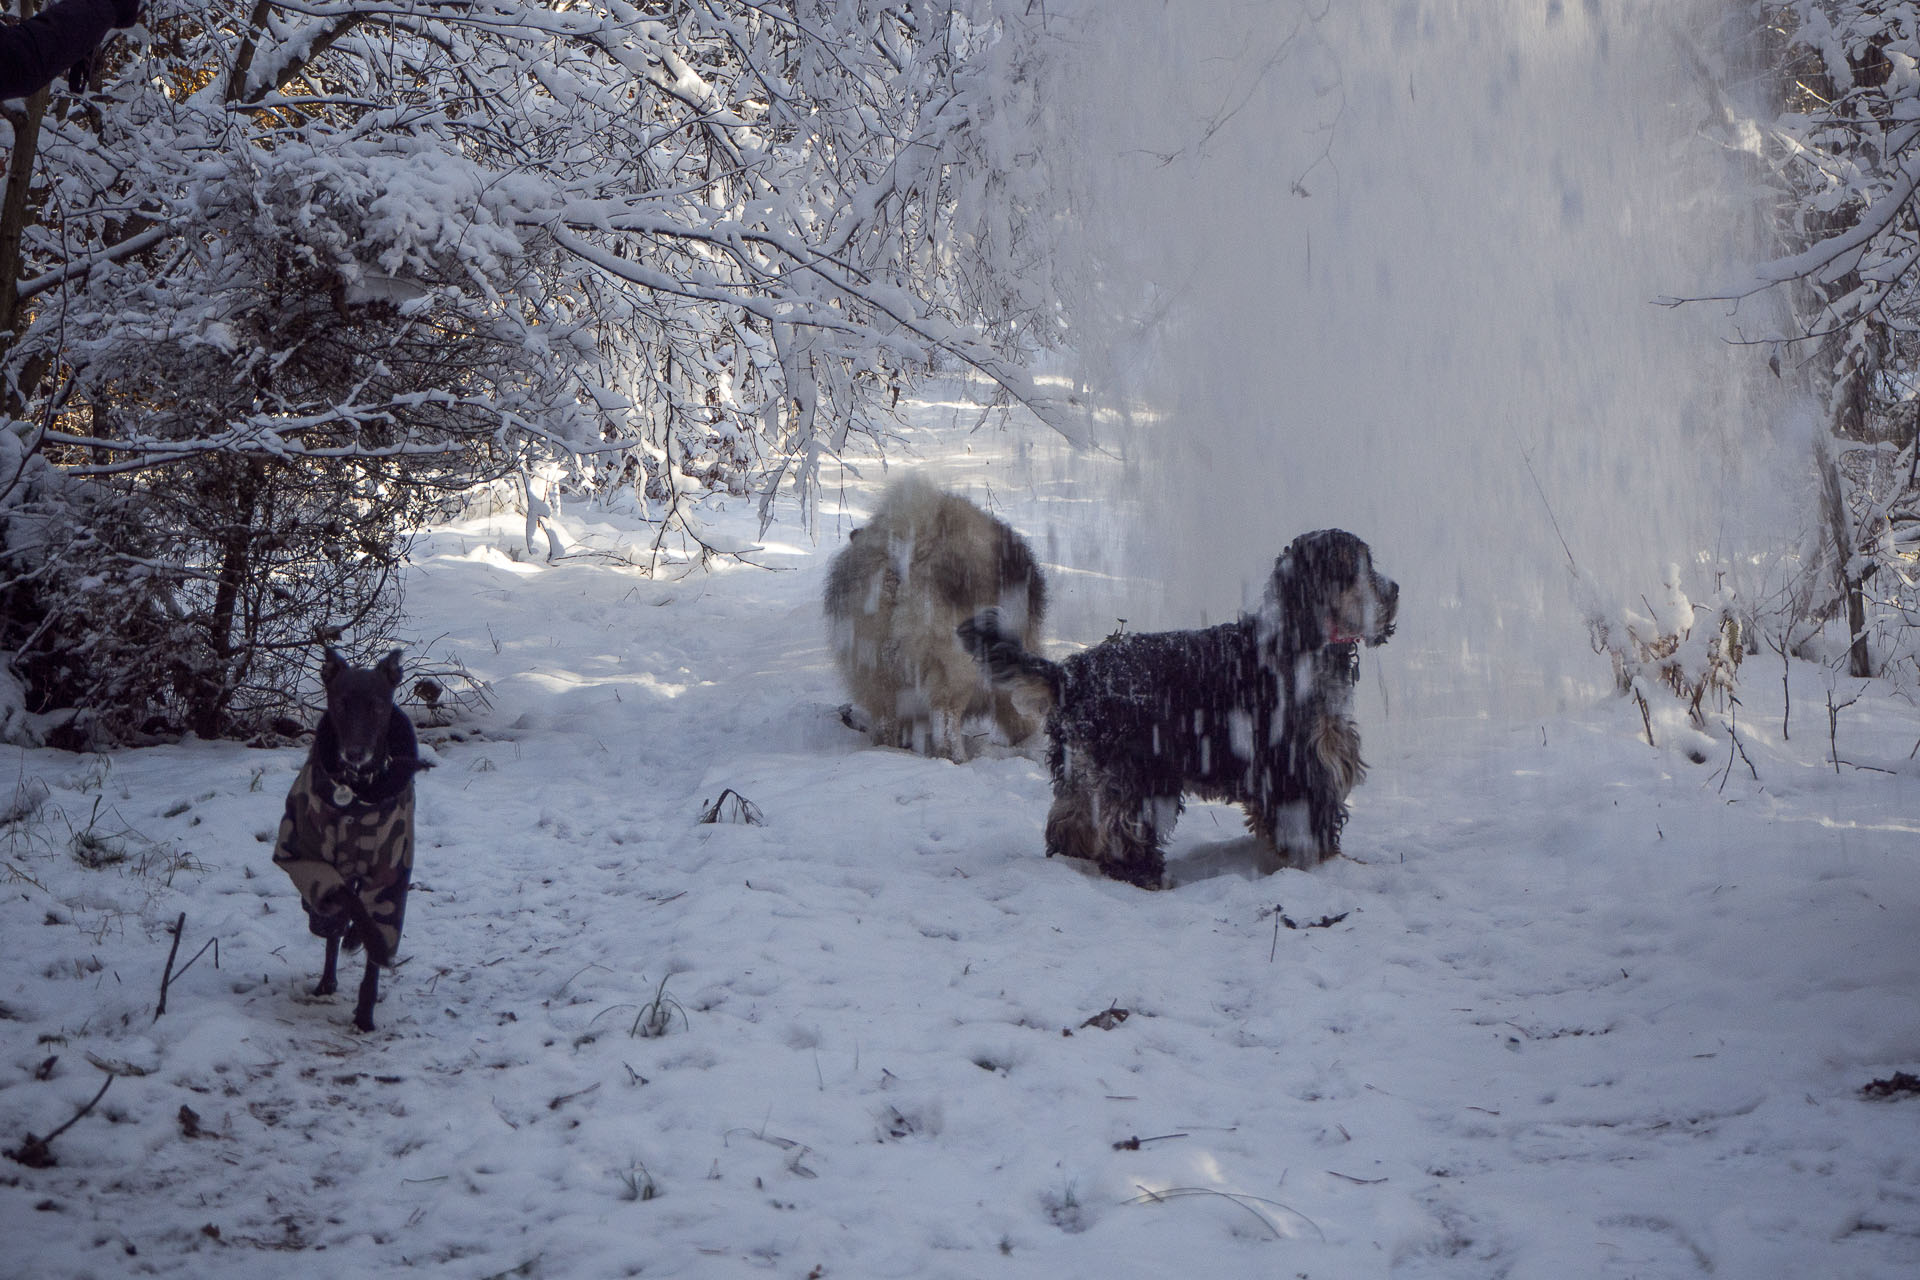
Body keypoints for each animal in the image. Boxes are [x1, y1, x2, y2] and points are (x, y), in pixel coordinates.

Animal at [272, 652, 430, 1028]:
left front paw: (365, 1013)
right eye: (341, 703)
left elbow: (377, 934)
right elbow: (344, 900)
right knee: (333, 917)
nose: (356, 752)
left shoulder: (391, 871)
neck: (358, 791)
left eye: (377, 706)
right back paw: (327, 977)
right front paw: (352, 930)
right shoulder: (303, 855)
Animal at [960, 529, 1397, 890]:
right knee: (1123, 829)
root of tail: (1071, 674)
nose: (1394, 589)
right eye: (1352, 566)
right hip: (1140, 774)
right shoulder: (1297, 764)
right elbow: (1307, 825)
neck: (1297, 643)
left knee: (1069, 820)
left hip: (1081, 767)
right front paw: (1325, 867)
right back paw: (1145, 875)